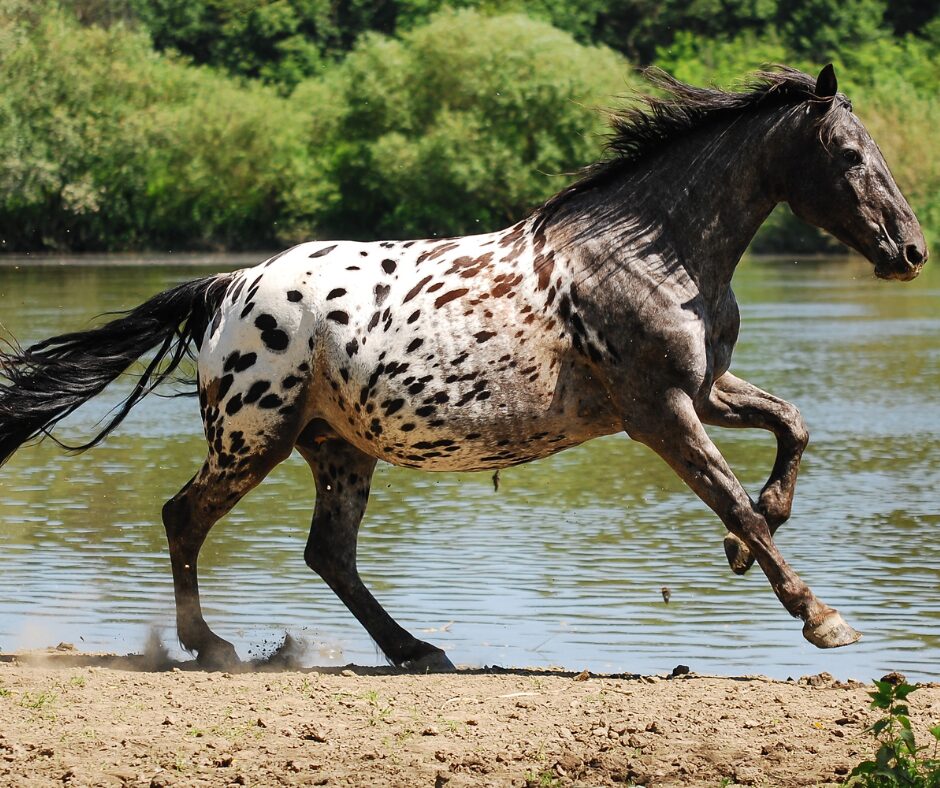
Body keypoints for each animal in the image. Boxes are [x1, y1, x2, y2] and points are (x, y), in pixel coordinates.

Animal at [0, 65, 927, 671]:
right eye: (850, 154)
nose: (911, 251)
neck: (650, 252)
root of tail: (228, 287)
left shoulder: (702, 390)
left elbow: (792, 428)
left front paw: (751, 541)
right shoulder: (659, 409)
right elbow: (729, 491)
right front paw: (822, 618)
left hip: (337, 449)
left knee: (326, 554)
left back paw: (415, 650)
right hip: (252, 435)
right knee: (184, 518)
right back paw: (213, 646)